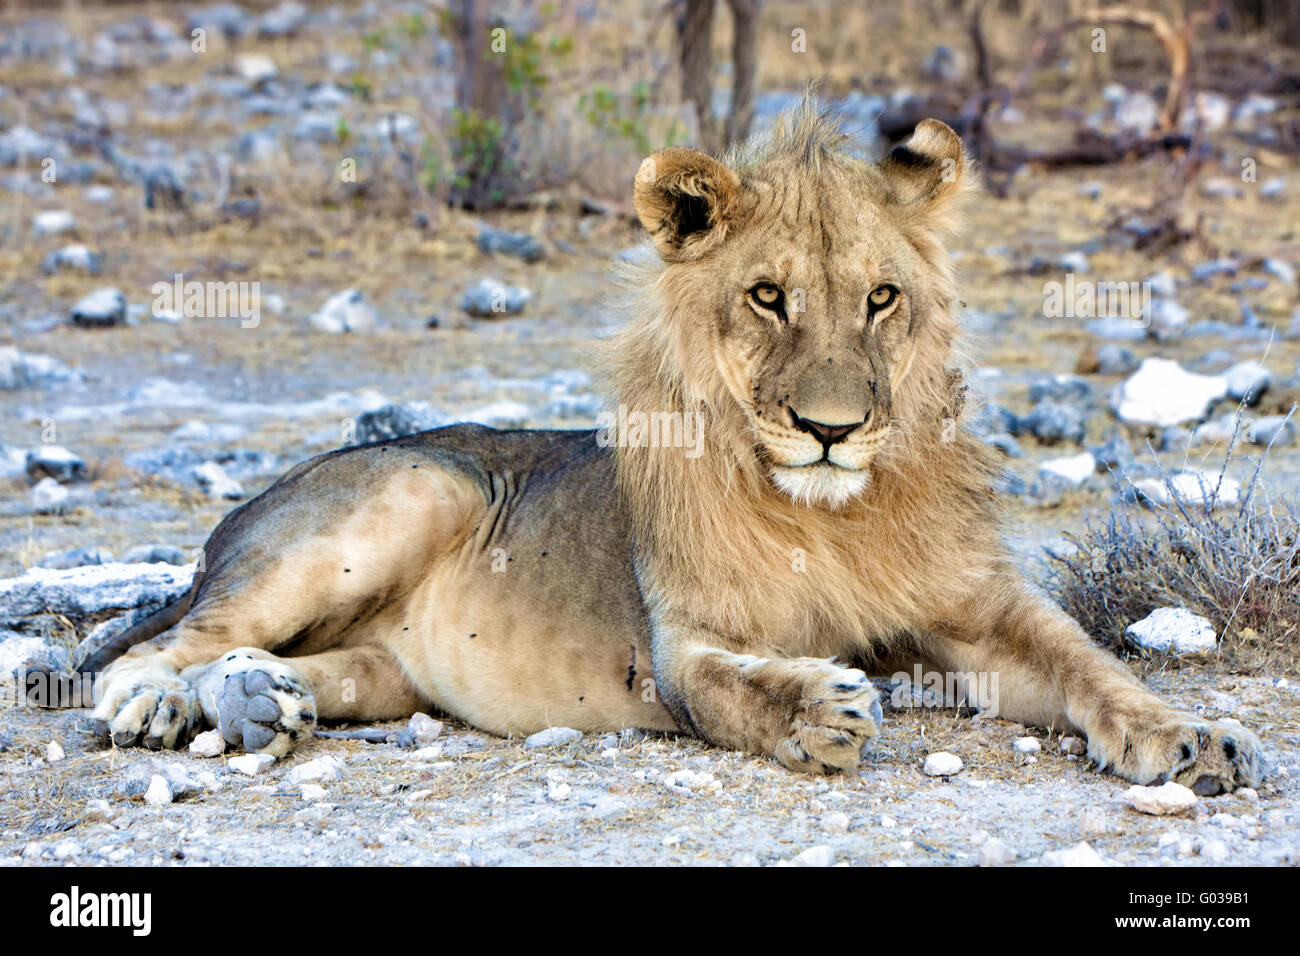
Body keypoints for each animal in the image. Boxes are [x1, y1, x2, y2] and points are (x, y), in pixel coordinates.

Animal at [53, 100, 1258, 796]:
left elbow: (1091, 662)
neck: (832, 516)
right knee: (160, 645)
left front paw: (1195, 738)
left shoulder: (980, 611)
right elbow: (732, 688)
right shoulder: (686, 639)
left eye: (881, 298)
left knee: (303, 664)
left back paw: (262, 701)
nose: (831, 431)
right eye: (767, 296)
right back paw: (163, 707)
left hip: (386, 669)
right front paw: (822, 710)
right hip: (415, 488)